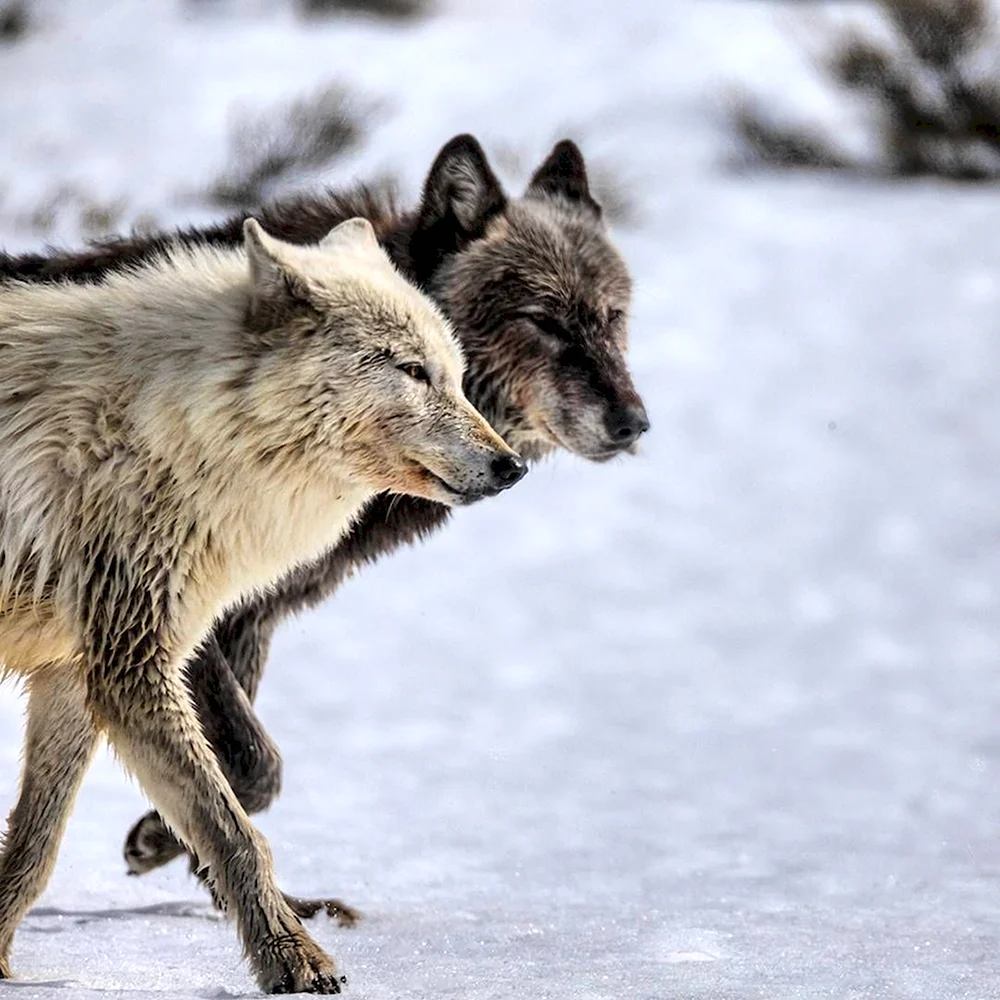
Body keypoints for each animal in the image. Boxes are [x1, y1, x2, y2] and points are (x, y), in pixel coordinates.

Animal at [0, 133, 652, 920]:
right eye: (545, 321)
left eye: (612, 317)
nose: (634, 423)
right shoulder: (187, 618)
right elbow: (257, 765)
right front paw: (162, 841)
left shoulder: (246, 619)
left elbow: (245, 771)